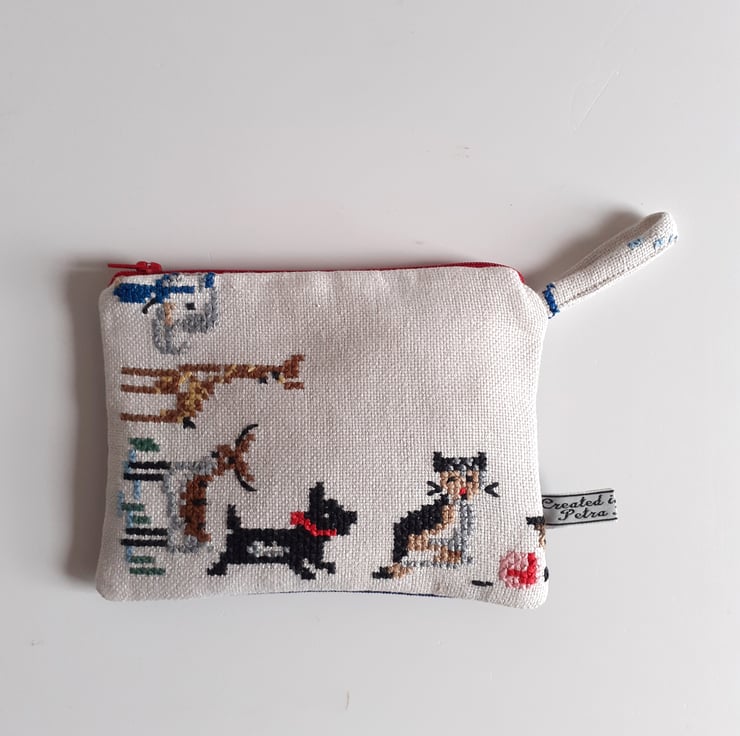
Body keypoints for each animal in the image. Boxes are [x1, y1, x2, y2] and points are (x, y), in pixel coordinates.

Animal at [207, 483, 357, 579]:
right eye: (329, 513)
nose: (353, 515)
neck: (309, 534)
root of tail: (234, 529)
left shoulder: (313, 557)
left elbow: (319, 563)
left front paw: (329, 567)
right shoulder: (294, 557)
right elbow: (301, 566)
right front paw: (308, 574)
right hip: (238, 554)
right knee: (224, 557)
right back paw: (215, 571)